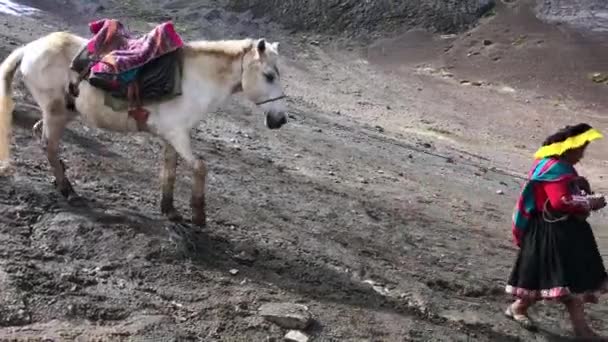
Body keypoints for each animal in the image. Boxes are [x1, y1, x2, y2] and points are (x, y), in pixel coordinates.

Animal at [0, 30, 288, 226]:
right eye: (269, 76)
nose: (280, 119)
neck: (193, 80)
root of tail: (30, 48)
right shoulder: (178, 135)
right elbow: (200, 167)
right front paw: (198, 216)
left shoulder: (172, 137)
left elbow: (170, 170)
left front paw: (170, 210)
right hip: (56, 113)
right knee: (48, 144)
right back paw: (69, 192)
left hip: (63, 113)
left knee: (41, 135)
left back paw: (61, 183)